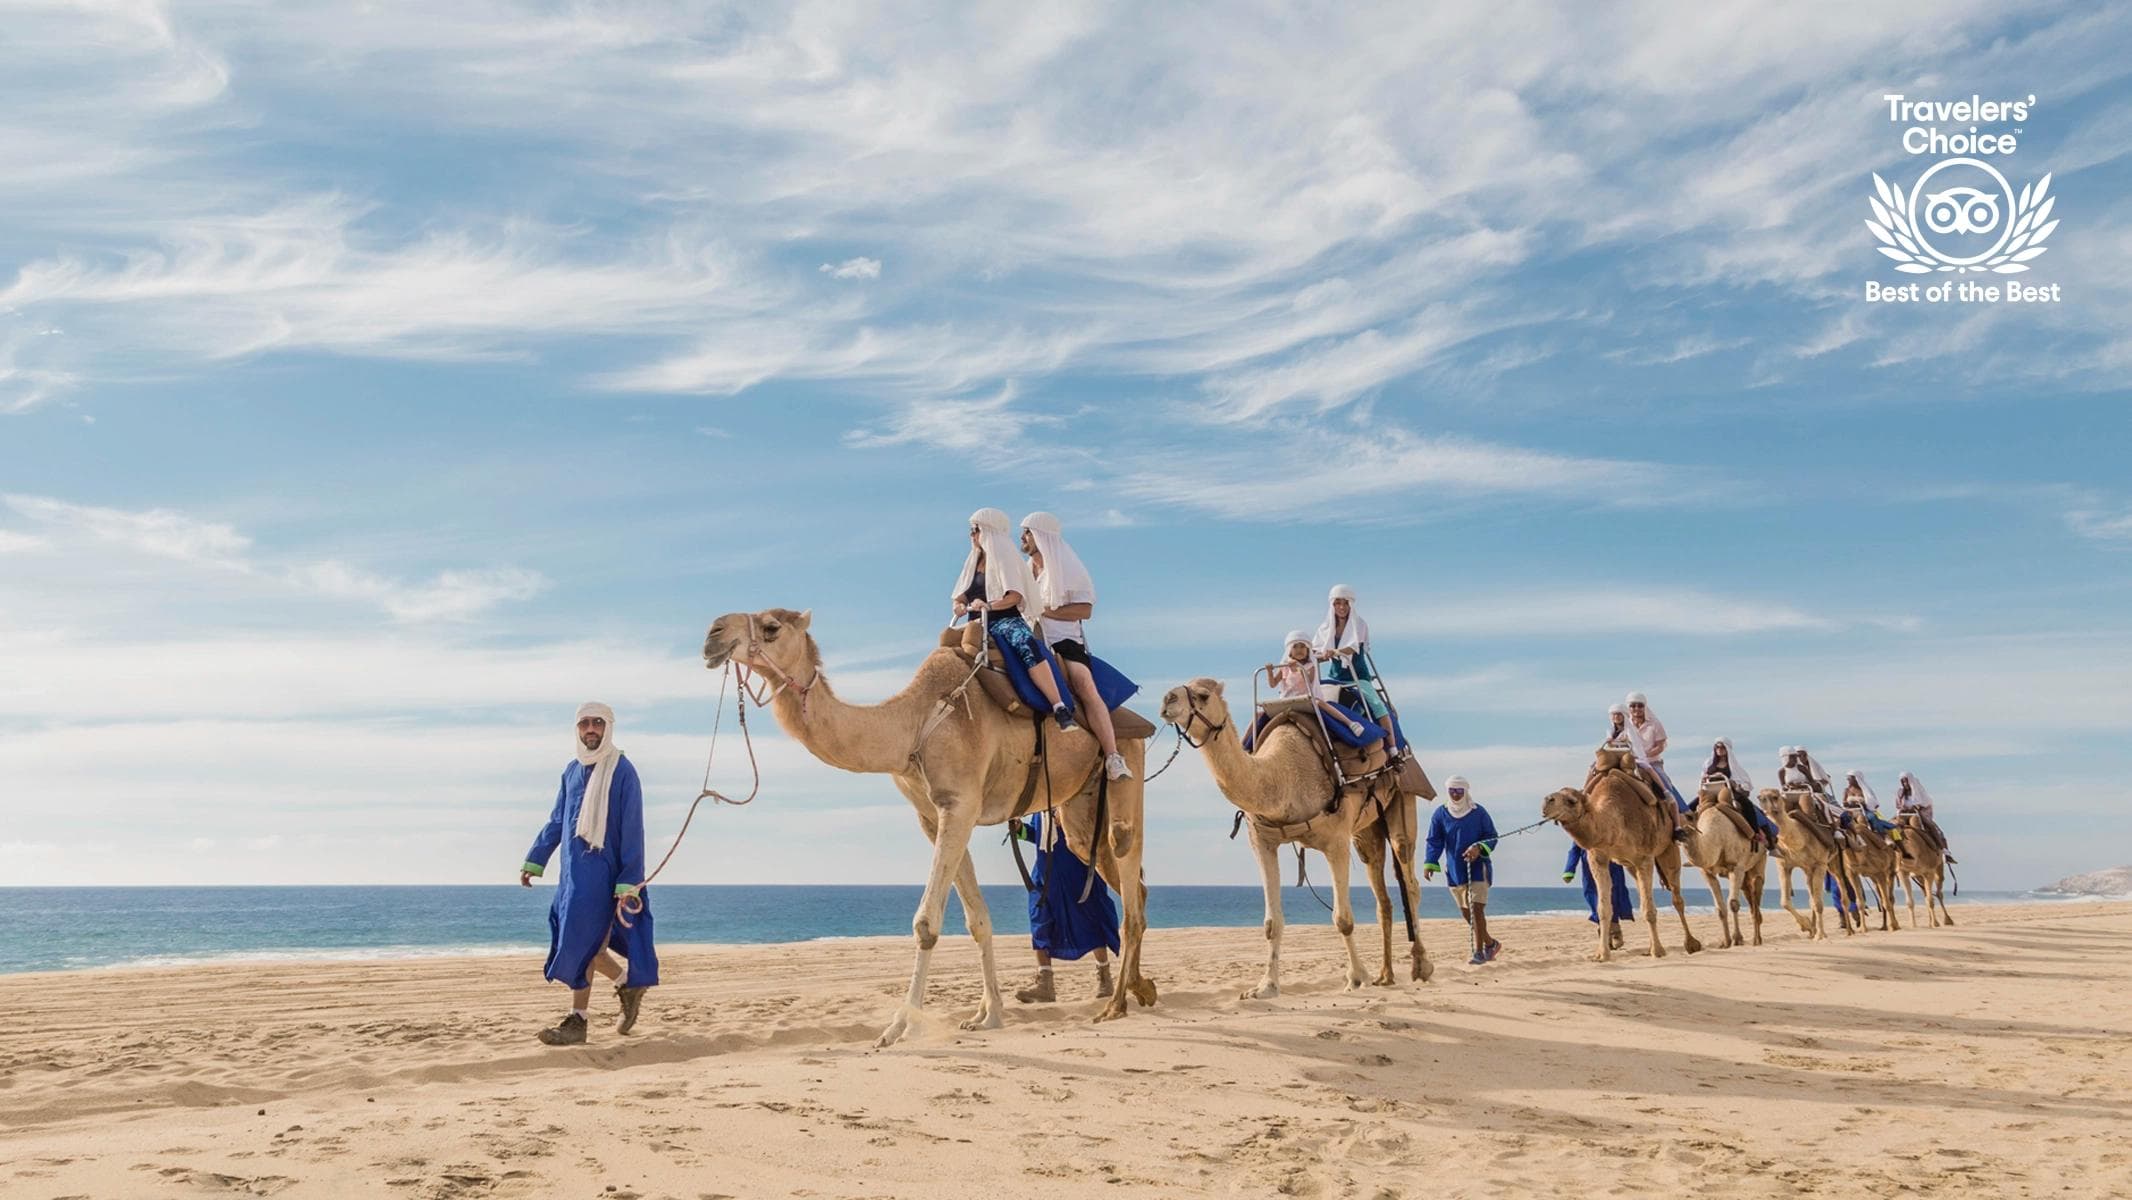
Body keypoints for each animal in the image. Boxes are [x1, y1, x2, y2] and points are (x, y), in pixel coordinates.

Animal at [702, 609, 1156, 1047]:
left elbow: (925, 924)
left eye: (771, 627)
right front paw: (988, 1016)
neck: (915, 724)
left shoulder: (960, 805)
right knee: (1128, 880)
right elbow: (977, 920)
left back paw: (1116, 1004)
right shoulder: (934, 816)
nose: (712, 635)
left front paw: (898, 1027)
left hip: (1124, 762)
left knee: (1125, 865)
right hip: (1079, 811)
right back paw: (1141, 988)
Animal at [1157, 679, 1433, 998]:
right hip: (1366, 829)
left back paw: (1421, 967)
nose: (1167, 699)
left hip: (1403, 795)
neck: (1282, 777)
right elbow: (1271, 922)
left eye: (1202, 695)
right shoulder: (1261, 841)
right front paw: (1265, 987)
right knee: (1381, 890)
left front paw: (1356, 978)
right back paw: (1385, 975)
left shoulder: (1336, 841)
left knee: (1409, 877)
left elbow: (1343, 919)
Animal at [1540, 748, 1702, 962]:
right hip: (1630, 865)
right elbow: (1604, 908)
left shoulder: (1645, 857)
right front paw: (1602, 954)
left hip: (1668, 849)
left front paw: (1658, 951)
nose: (1546, 801)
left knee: (1676, 897)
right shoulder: (1598, 858)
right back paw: (1649, 947)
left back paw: (1691, 944)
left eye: (1571, 801)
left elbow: (1649, 910)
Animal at [1685, 776, 1767, 948]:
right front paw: (1726, 941)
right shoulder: (1707, 872)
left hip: (1759, 860)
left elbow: (1733, 904)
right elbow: (1720, 908)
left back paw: (1757, 939)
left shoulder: (1736, 867)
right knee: (1748, 893)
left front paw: (1737, 939)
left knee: (1756, 890)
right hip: (1745, 875)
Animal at [1761, 788, 1860, 940]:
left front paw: (1820, 935)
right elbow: (1785, 901)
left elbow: (1818, 903)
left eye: (1775, 796)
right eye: (1759, 796)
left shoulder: (1820, 864)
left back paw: (1849, 931)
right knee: (1811, 897)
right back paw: (1813, 931)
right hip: (1808, 870)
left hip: (1834, 862)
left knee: (1843, 894)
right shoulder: (1784, 865)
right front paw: (1807, 927)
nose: (1763, 802)